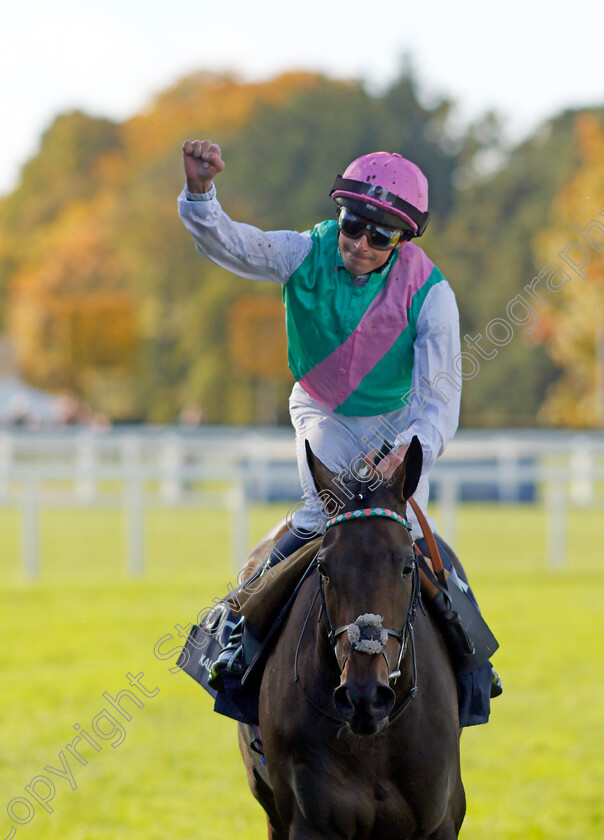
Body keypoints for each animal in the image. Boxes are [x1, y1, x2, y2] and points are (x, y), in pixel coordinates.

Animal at [238, 436, 464, 836]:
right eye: (323, 568)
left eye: (408, 566)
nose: (364, 696)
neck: (374, 743)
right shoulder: (309, 823)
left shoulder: (440, 821)